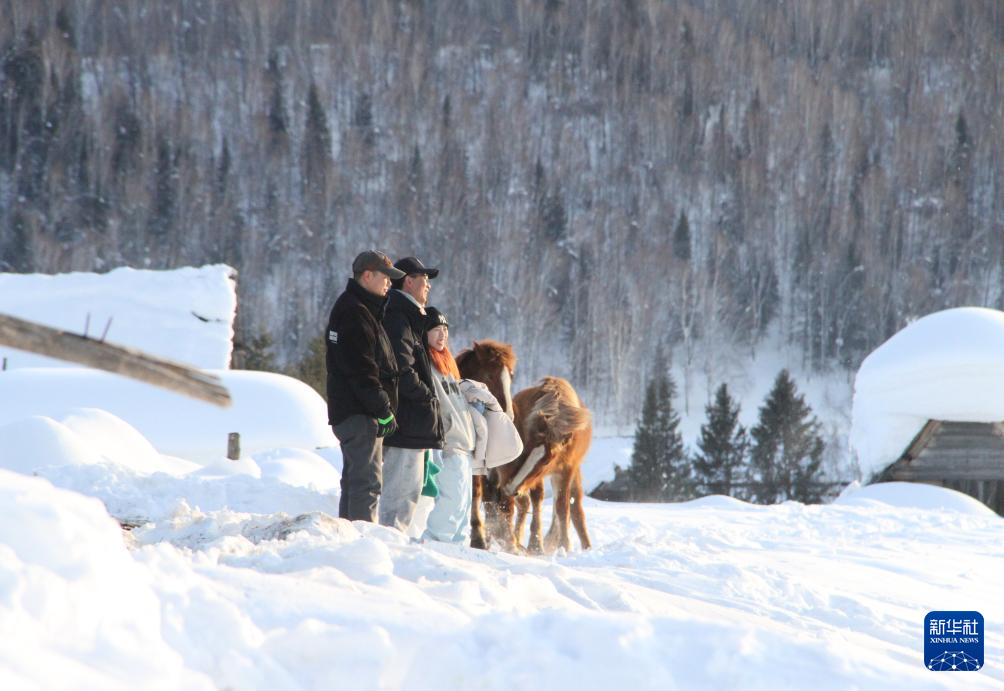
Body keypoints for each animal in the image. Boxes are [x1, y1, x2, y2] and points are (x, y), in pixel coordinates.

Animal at [459, 341, 590, 554]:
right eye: (488, 375)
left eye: (511, 376)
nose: (508, 413)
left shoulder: (565, 468)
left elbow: (561, 505)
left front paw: (559, 546)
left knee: (571, 505)